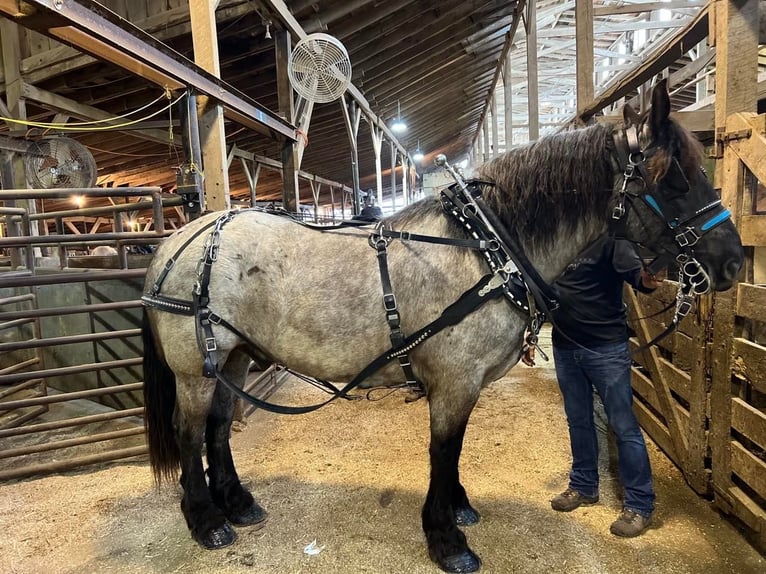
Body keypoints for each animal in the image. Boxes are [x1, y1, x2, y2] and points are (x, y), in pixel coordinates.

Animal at [140, 82, 744, 574]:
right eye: (677, 179)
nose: (735, 263)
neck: (484, 248)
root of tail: (182, 240)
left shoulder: (465, 384)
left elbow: (454, 451)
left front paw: (458, 508)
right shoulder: (454, 382)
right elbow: (443, 450)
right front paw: (447, 540)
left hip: (234, 356)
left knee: (219, 429)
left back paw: (238, 505)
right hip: (194, 370)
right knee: (190, 432)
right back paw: (206, 521)